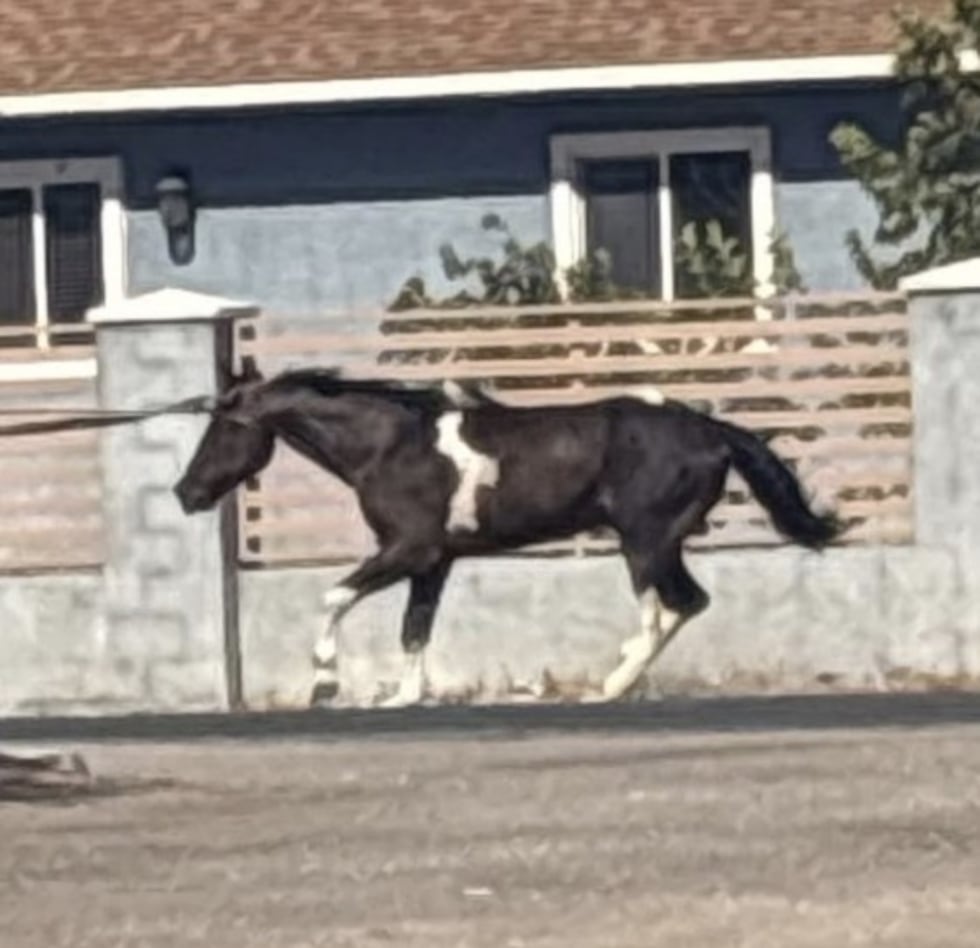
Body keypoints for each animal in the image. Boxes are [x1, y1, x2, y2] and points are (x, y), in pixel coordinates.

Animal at [174, 365, 840, 707]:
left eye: (223, 427)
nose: (186, 492)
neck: (391, 446)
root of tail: (714, 431)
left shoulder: (407, 548)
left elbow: (334, 596)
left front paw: (324, 682)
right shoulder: (434, 561)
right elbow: (415, 627)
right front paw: (403, 697)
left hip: (645, 541)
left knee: (664, 608)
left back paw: (608, 685)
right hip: (659, 543)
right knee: (687, 603)